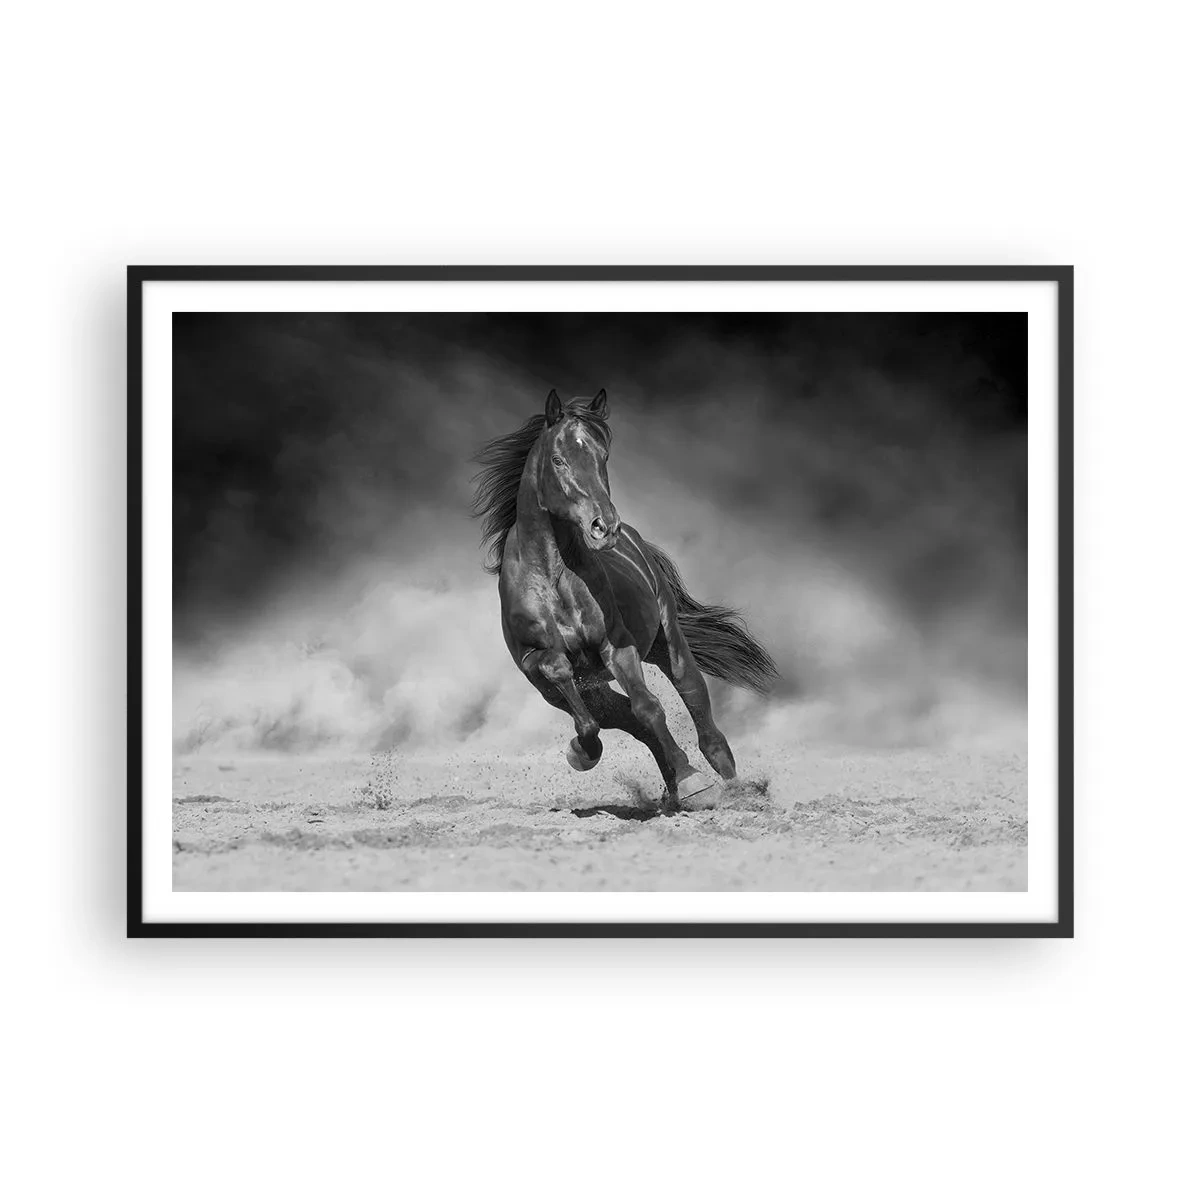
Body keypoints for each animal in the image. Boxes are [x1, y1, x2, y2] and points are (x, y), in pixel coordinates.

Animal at [471, 388, 778, 806]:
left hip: (668, 643)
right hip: (582, 689)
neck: (553, 579)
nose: (604, 526)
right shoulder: (535, 664)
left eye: (603, 456)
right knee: (624, 720)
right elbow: (576, 692)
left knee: (694, 704)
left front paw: (695, 783)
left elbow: (649, 708)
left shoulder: (617, 648)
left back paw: (729, 787)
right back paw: (670, 788)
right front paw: (582, 752)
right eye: (558, 459)